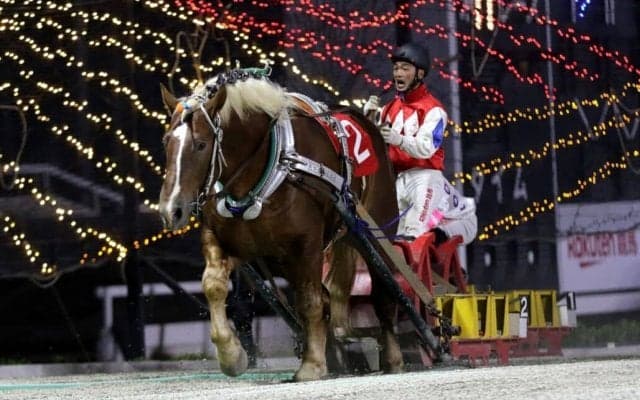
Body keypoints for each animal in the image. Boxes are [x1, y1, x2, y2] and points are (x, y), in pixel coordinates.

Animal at [157, 68, 400, 381]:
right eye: (166, 142)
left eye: (200, 144)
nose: (171, 210)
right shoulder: (233, 243)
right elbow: (213, 285)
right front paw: (231, 354)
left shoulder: (307, 244)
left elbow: (309, 301)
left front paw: (312, 365)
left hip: (377, 232)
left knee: (383, 292)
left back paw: (392, 357)